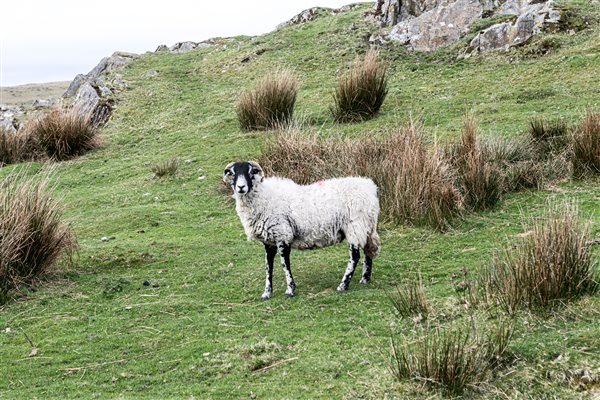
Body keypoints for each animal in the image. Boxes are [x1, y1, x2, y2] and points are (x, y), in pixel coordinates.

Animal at [225, 161, 380, 298]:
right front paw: (267, 293)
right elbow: (268, 267)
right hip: (366, 226)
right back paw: (364, 279)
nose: (241, 187)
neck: (263, 197)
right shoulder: (269, 241)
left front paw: (290, 290)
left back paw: (343, 285)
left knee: (355, 257)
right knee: (368, 251)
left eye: (251, 172)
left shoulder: (282, 234)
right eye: (232, 173)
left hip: (355, 226)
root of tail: (370, 187)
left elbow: (284, 264)